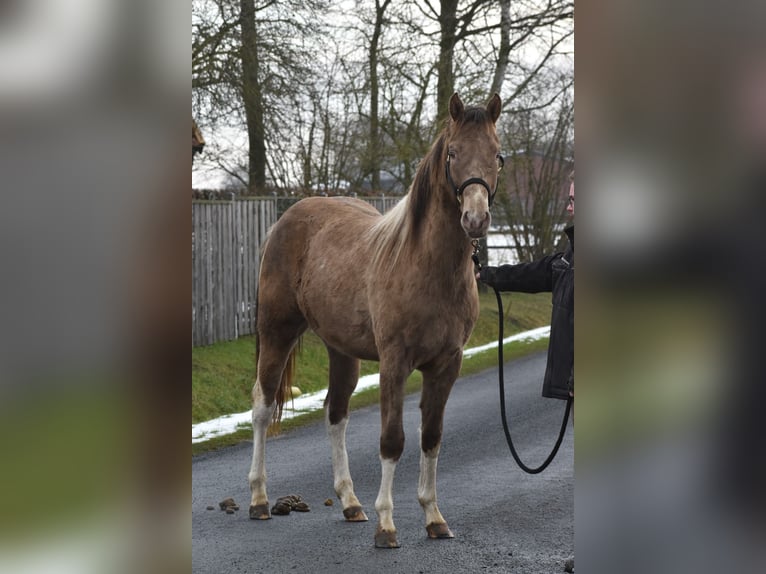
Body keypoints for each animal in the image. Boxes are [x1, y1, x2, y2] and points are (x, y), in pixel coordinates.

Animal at [248, 93, 503, 548]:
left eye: (497, 155)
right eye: (453, 153)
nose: (475, 219)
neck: (425, 267)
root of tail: (286, 218)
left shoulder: (447, 365)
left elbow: (431, 438)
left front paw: (434, 518)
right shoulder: (394, 363)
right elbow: (392, 440)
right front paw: (387, 525)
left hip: (341, 351)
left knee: (336, 414)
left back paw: (351, 503)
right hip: (276, 332)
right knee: (262, 405)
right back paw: (259, 499)